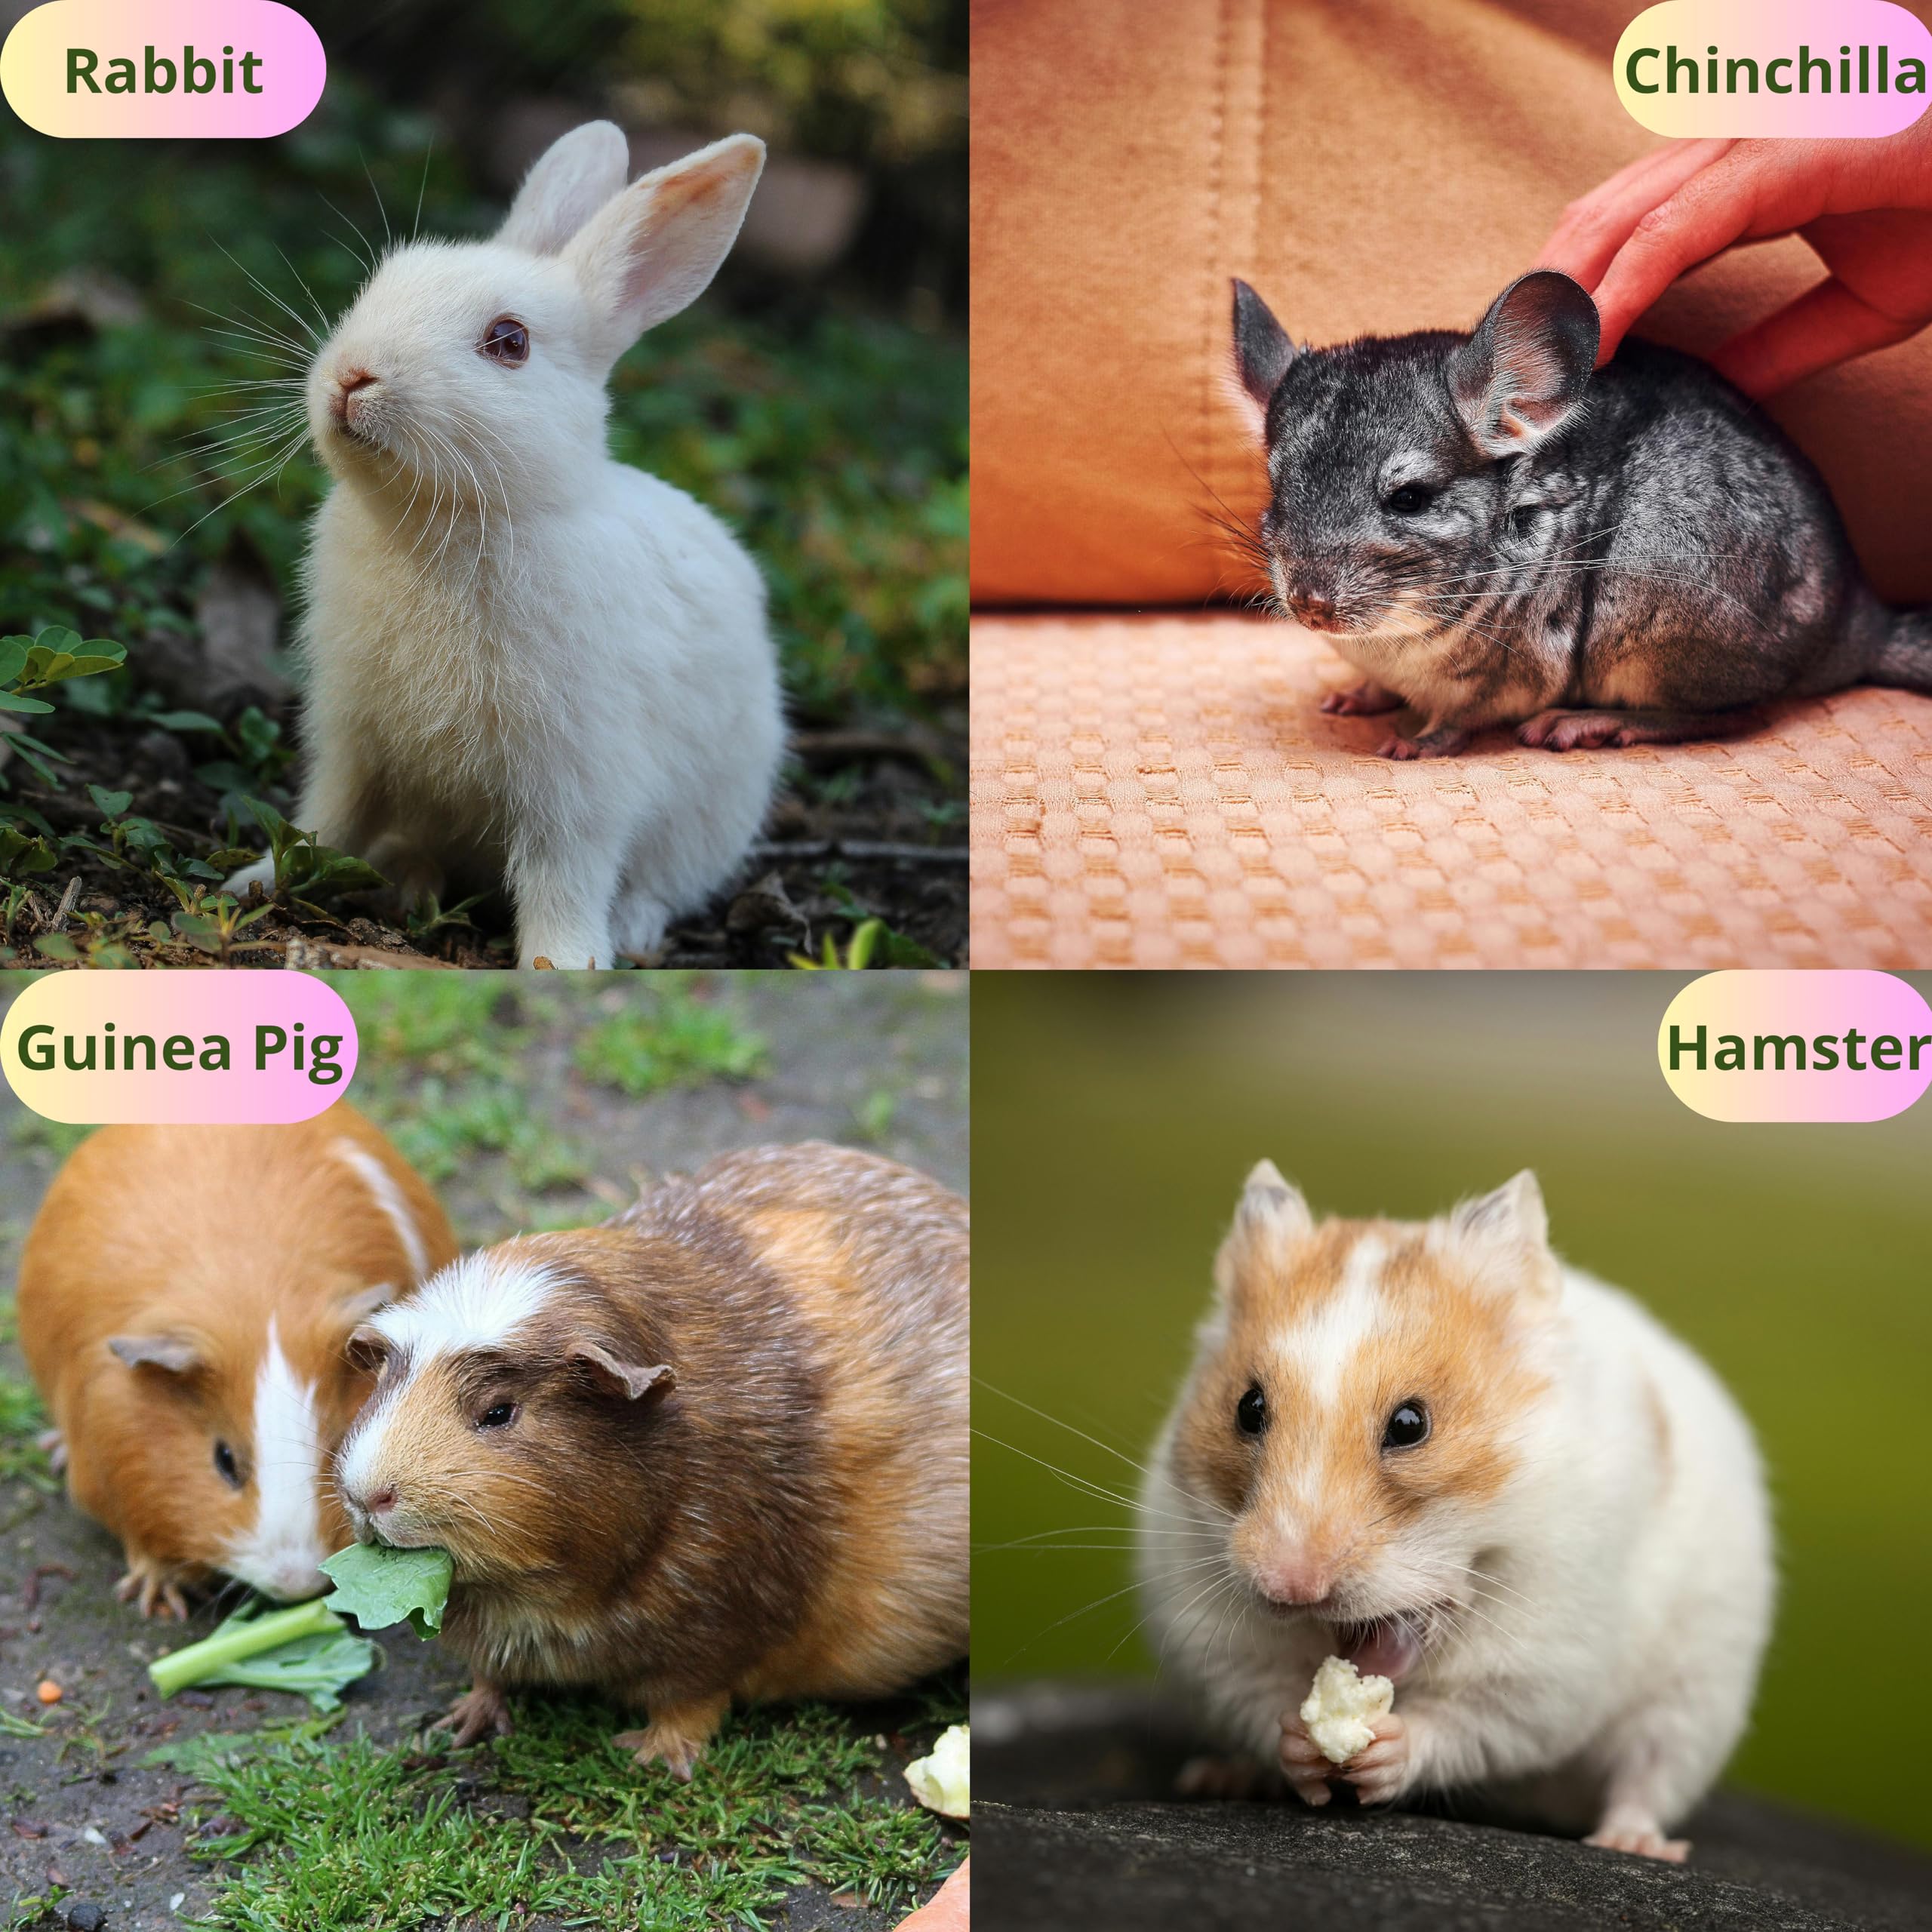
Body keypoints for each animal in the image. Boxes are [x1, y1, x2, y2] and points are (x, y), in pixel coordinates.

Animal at [224, 122, 784, 968]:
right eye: (381, 284)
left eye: (510, 341)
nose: (353, 377)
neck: (447, 520)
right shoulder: (352, 739)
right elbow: (326, 818)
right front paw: (257, 880)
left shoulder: (577, 782)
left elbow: (563, 877)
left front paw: (566, 964)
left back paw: (631, 929)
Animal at [334, 1141, 969, 1777]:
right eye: (385, 1385)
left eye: (498, 1412)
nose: (368, 1495)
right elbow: (489, 1675)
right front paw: (459, 1727)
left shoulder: (712, 1632)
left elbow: (690, 1704)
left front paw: (650, 1757)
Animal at [1139, 1163, 1772, 1862]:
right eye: (1247, 1408)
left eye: (1411, 1425)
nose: (1291, 1588)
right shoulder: (1215, 1640)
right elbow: (1264, 1701)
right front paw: (1303, 1744)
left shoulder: (1542, 1670)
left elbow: (1463, 1725)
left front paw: (1382, 1748)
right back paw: (1218, 1776)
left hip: (1694, 1698)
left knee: (1647, 1775)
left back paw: (1632, 1843)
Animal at [1231, 270, 1932, 758]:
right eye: (1278, 488)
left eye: (1410, 498)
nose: (1310, 605)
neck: (1393, 641)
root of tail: (1859, 624)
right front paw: (1352, 697)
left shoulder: (1512, 671)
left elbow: (1459, 719)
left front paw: (1410, 742)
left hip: (1658, 615)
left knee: (1741, 713)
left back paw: (1587, 724)